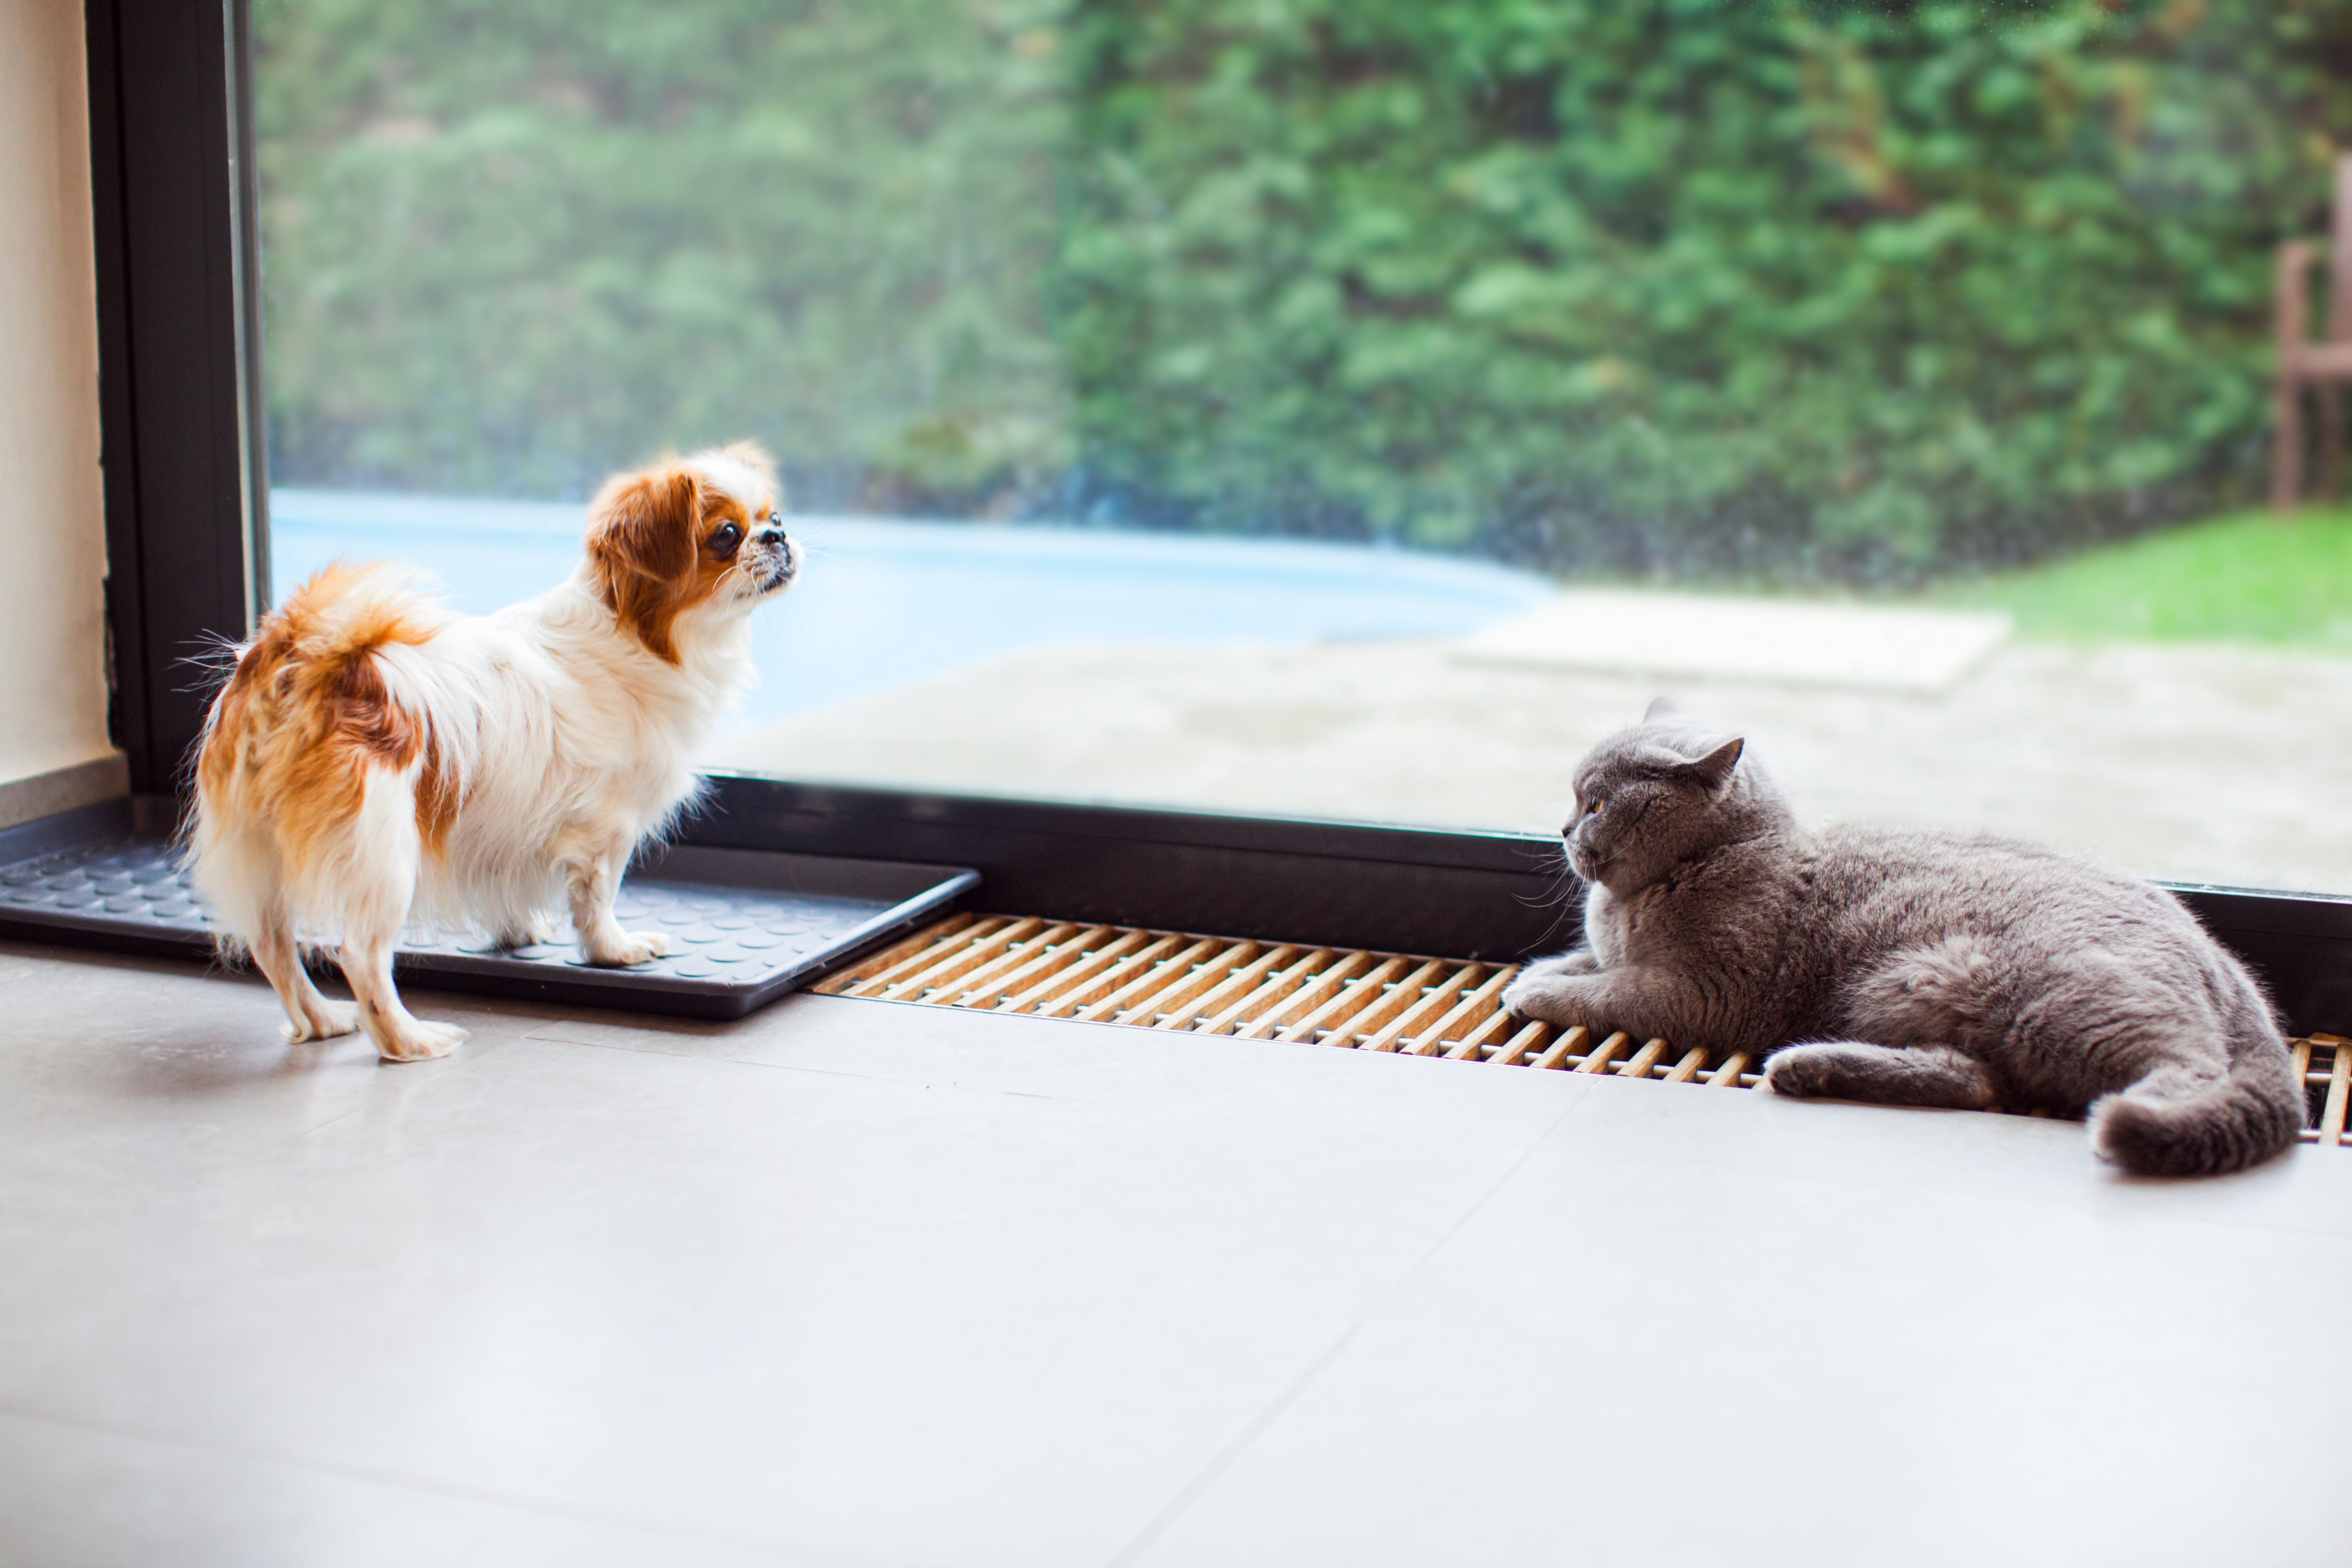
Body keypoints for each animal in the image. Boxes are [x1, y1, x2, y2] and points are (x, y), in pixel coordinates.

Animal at [188, 435, 795, 1062]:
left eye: (774, 517)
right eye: (727, 535)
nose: (777, 536)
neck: (642, 638)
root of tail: (303, 655)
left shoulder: (502, 826)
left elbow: (503, 884)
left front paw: (516, 933)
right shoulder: (606, 829)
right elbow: (596, 900)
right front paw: (614, 950)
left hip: (262, 850)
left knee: (272, 943)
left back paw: (321, 1020)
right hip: (383, 853)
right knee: (358, 955)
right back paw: (409, 1041)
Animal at [1496, 700, 2305, 1175]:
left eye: (1596, 802)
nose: (1562, 828)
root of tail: (2222, 961)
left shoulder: (1701, 993)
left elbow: (1608, 990)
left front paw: (1535, 990)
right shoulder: (1617, 949)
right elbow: (1584, 958)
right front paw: (1539, 970)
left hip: (2062, 1002)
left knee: (2185, 1069)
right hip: (1913, 994)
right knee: (1976, 1079)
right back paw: (1811, 1067)